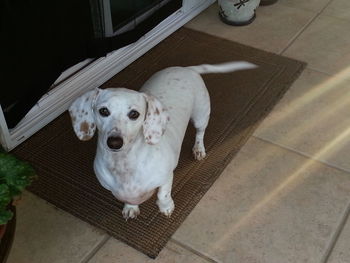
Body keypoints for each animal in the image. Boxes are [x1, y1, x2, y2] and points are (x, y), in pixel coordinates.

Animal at [68, 60, 256, 220]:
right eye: (103, 111)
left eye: (134, 114)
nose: (114, 142)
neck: (125, 165)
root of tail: (187, 69)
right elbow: (130, 201)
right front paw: (131, 208)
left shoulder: (166, 176)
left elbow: (162, 193)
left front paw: (166, 207)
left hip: (201, 115)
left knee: (200, 133)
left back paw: (198, 149)